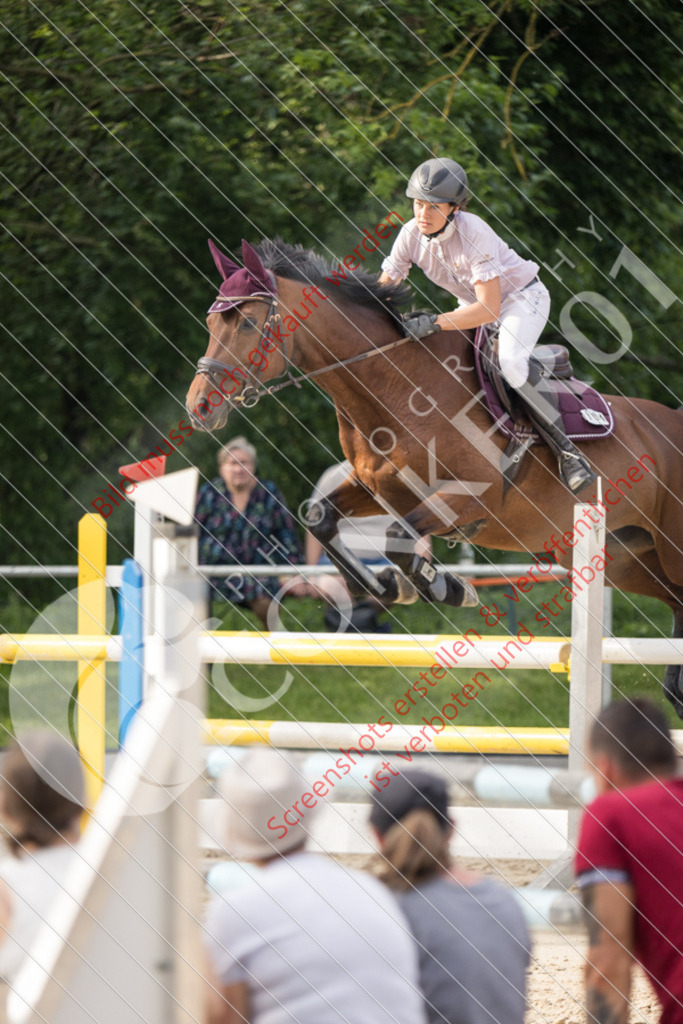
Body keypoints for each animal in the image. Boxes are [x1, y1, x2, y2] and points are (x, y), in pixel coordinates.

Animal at [187, 235, 683, 716]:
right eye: (211, 325)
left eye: (248, 323)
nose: (199, 408)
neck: (395, 386)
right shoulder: (378, 488)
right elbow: (320, 517)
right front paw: (389, 586)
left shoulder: (470, 500)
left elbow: (395, 539)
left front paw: (448, 588)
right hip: (625, 558)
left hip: (665, 549)